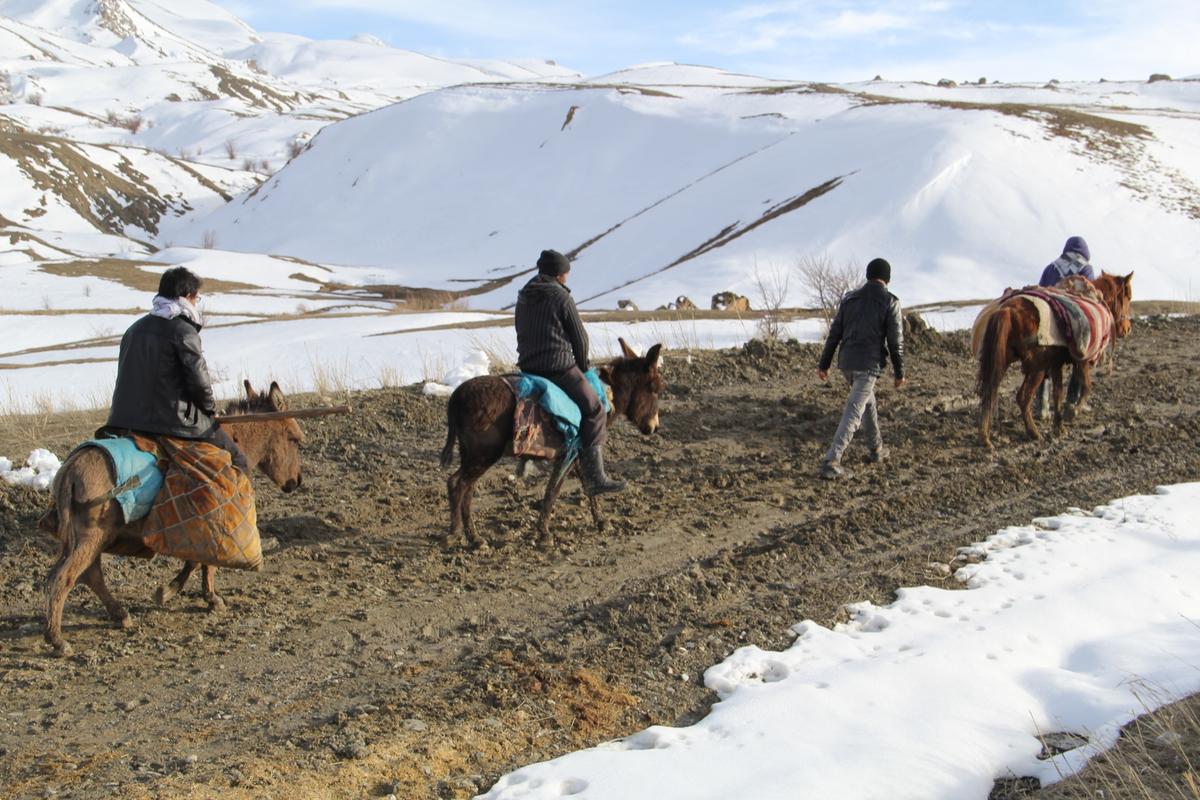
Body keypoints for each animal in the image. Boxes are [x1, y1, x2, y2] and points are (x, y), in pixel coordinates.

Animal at [43, 381, 302, 657]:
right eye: (294, 439)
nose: (296, 481)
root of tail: (71, 470)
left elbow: (198, 561)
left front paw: (178, 592)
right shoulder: (211, 521)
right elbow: (202, 562)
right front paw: (196, 596)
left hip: (89, 539)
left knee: (90, 574)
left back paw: (119, 614)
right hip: (91, 539)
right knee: (63, 579)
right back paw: (57, 639)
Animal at [441, 338, 667, 551]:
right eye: (654, 389)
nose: (655, 427)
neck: (606, 394)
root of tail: (456, 396)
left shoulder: (577, 453)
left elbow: (588, 484)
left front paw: (601, 521)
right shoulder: (569, 452)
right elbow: (553, 491)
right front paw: (544, 534)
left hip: (472, 455)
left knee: (464, 488)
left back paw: (469, 536)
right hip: (484, 455)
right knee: (457, 484)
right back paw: (460, 534)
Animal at [974, 273, 1132, 450]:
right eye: (1128, 296)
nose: (1127, 329)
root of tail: (1007, 309)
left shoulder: (1056, 364)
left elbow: (1057, 393)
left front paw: (1059, 426)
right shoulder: (1082, 360)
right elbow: (1086, 386)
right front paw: (1073, 412)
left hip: (1002, 362)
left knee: (989, 391)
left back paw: (985, 437)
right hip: (1037, 368)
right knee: (1023, 397)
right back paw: (1033, 432)